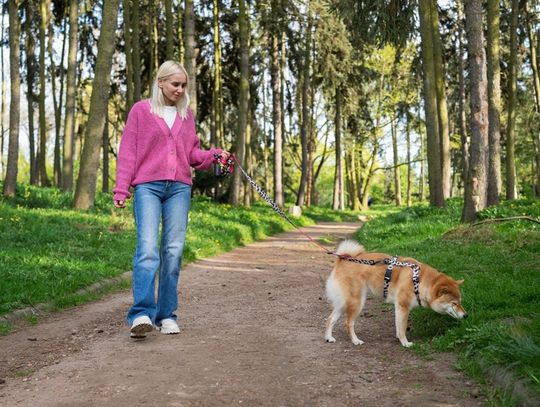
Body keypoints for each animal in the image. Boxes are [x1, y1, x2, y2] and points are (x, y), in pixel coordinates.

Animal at [324, 241, 468, 350]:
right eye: (454, 303)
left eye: (460, 301)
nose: (466, 315)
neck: (419, 280)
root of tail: (343, 259)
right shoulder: (403, 306)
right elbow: (403, 327)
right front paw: (405, 343)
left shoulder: (399, 307)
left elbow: (399, 326)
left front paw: (400, 339)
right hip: (357, 302)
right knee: (348, 323)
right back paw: (355, 340)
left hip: (343, 303)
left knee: (330, 319)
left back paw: (329, 337)